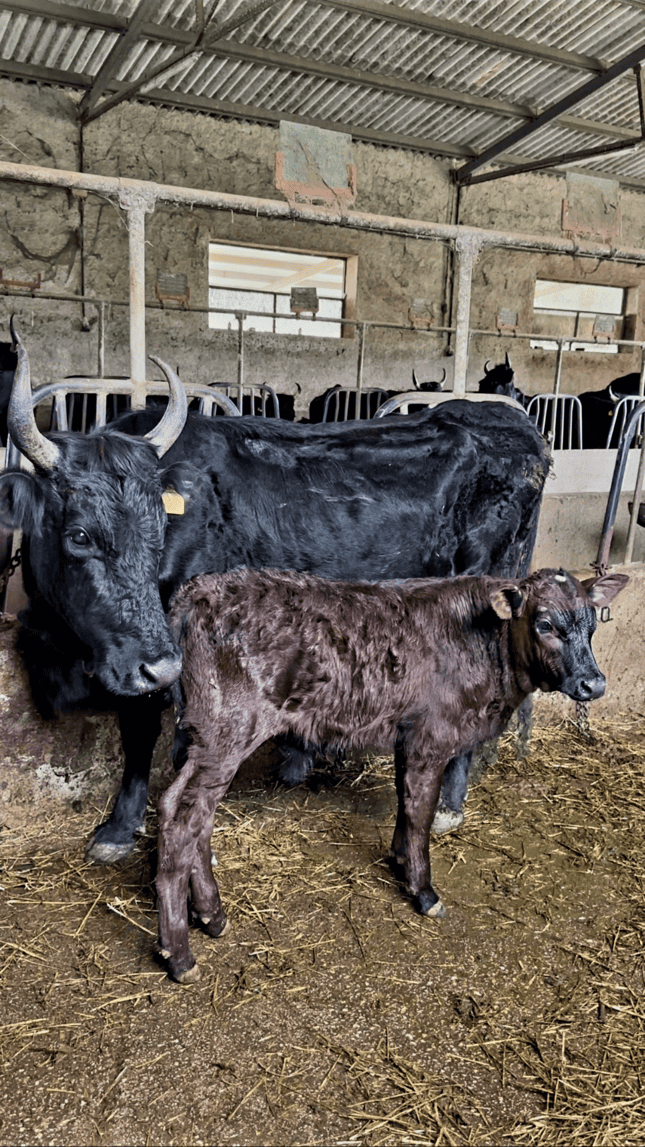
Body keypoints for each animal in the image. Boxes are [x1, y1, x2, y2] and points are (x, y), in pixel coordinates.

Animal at [0, 321, 550, 865]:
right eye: (79, 536)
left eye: (159, 528)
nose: (158, 663)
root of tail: (507, 421)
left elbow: (148, 733)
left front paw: (126, 827)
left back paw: (446, 807)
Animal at [157, 564, 628, 982]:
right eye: (544, 623)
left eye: (592, 623)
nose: (593, 684)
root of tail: (198, 590)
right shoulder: (430, 737)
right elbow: (420, 812)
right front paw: (424, 891)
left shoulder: (407, 734)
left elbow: (406, 803)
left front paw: (400, 861)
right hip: (228, 730)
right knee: (182, 818)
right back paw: (180, 955)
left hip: (202, 735)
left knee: (189, 814)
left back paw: (212, 916)